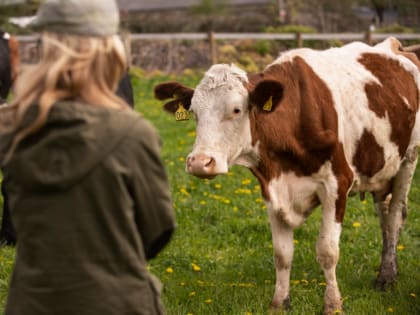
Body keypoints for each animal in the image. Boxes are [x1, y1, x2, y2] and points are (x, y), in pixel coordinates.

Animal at [155, 37, 420, 315]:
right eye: (194, 112)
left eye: (236, 110)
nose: (199, 163)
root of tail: (394, 45)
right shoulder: (272, 187)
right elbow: (282, 254)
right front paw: (280, 302)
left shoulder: (338, 183)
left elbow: (328, 251)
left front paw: (333, 304)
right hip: (382, 169)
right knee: (385, 214)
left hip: (408, 159)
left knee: (395, 216)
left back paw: (386, 277)